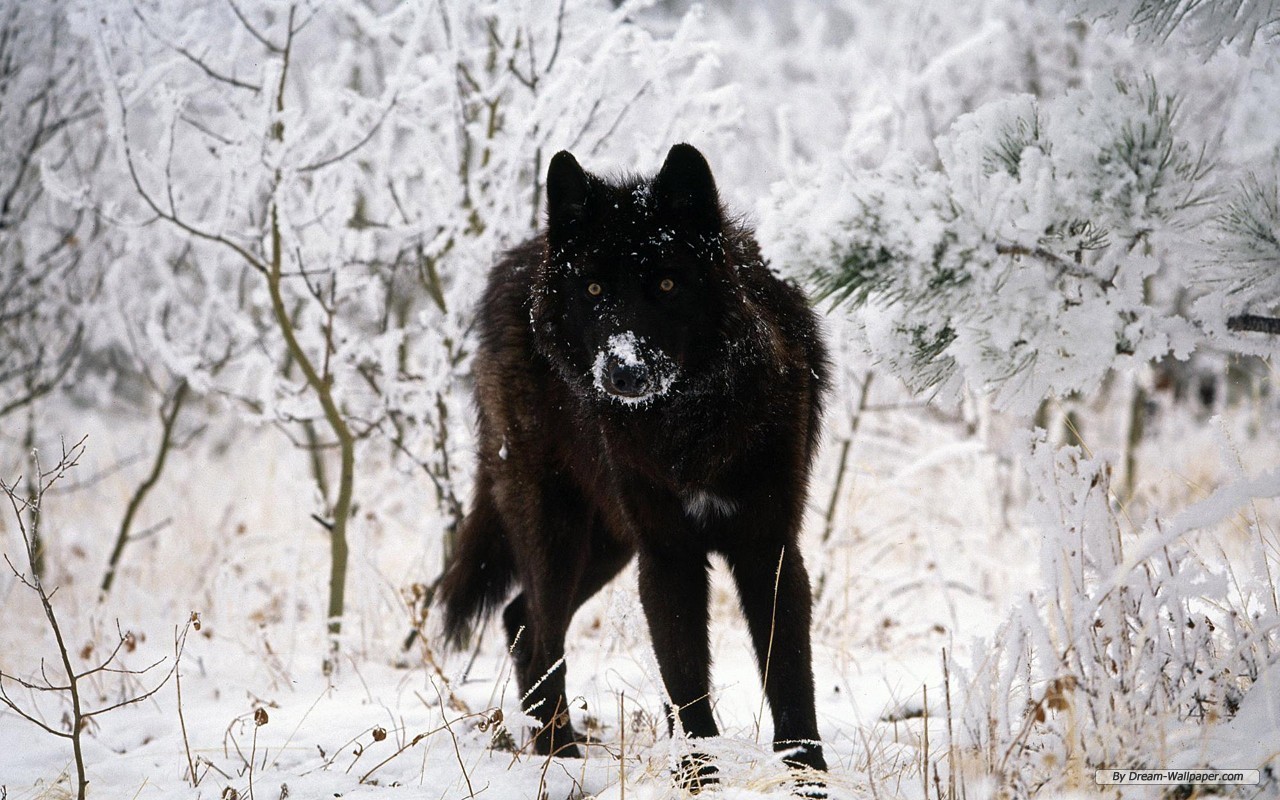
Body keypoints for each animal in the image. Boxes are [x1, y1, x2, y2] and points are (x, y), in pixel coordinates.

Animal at [438, 143, 829, 782]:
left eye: (667, 283)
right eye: (595, 290)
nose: (624, 372)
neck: (688, 426)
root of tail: (517, 260)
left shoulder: (768, 548)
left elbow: (791, 678)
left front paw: (809, 778)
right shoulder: (666, 555)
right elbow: (686, 682)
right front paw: (698, 777)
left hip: (608, 544)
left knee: (520, 619)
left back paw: (556, 752)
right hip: (560, 533)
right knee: (538, 631)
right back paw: (560, 758)